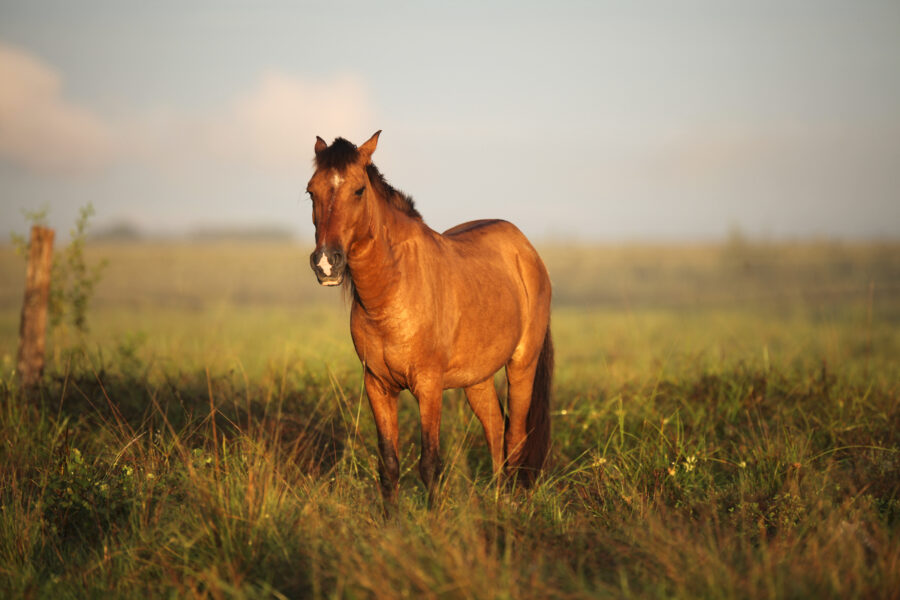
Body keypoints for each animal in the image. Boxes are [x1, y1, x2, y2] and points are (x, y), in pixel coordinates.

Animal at [306, 131, 552, 506]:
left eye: (359, 190)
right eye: (311, 191)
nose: (326, 263)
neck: (391, 293)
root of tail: (526, 250)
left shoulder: (429, 386)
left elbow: (430, 463)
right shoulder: (377, 386)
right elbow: (389, 464)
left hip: (522, 363)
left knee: (515, 437)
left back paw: (511, 503)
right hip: (477, 378)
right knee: (495, 429)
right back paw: (497, 501)